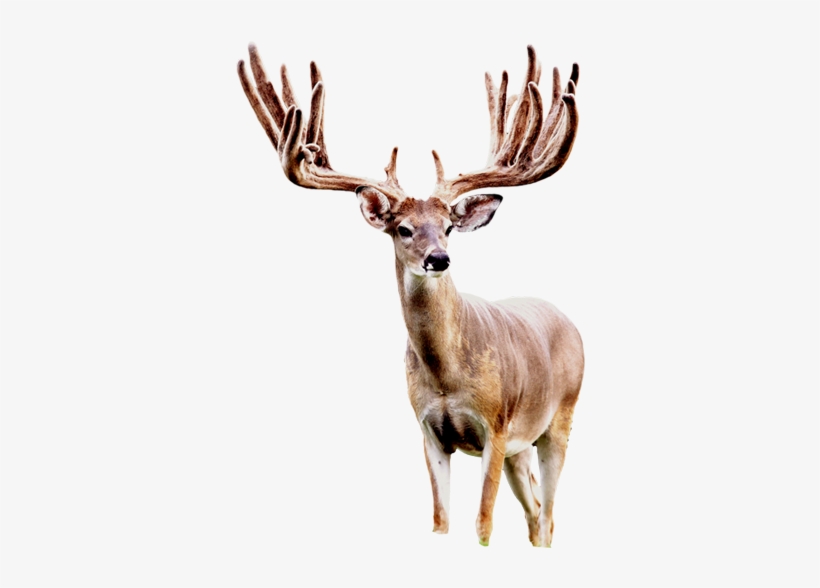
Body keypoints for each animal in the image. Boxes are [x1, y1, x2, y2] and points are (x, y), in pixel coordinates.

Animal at [237, 44, 583, 547]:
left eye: (449, 227)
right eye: (402, 228)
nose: (439, 259)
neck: (445, 377)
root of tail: (568, 320)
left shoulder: (495, 427)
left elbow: (483, 525)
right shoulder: (428, 431)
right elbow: (440, 521)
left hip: (560, 419)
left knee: (550, 515)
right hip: (523, 446)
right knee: (536, 511)